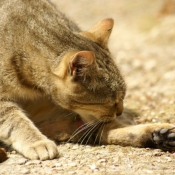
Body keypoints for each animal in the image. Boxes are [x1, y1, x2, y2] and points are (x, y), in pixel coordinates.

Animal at [0, 0, 175, 161]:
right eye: (112, 102)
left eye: (123, 97)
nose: (120, 111)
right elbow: (16, 122)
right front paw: (37, 143)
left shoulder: (62, 120)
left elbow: (112, 130)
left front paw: (158, 133)